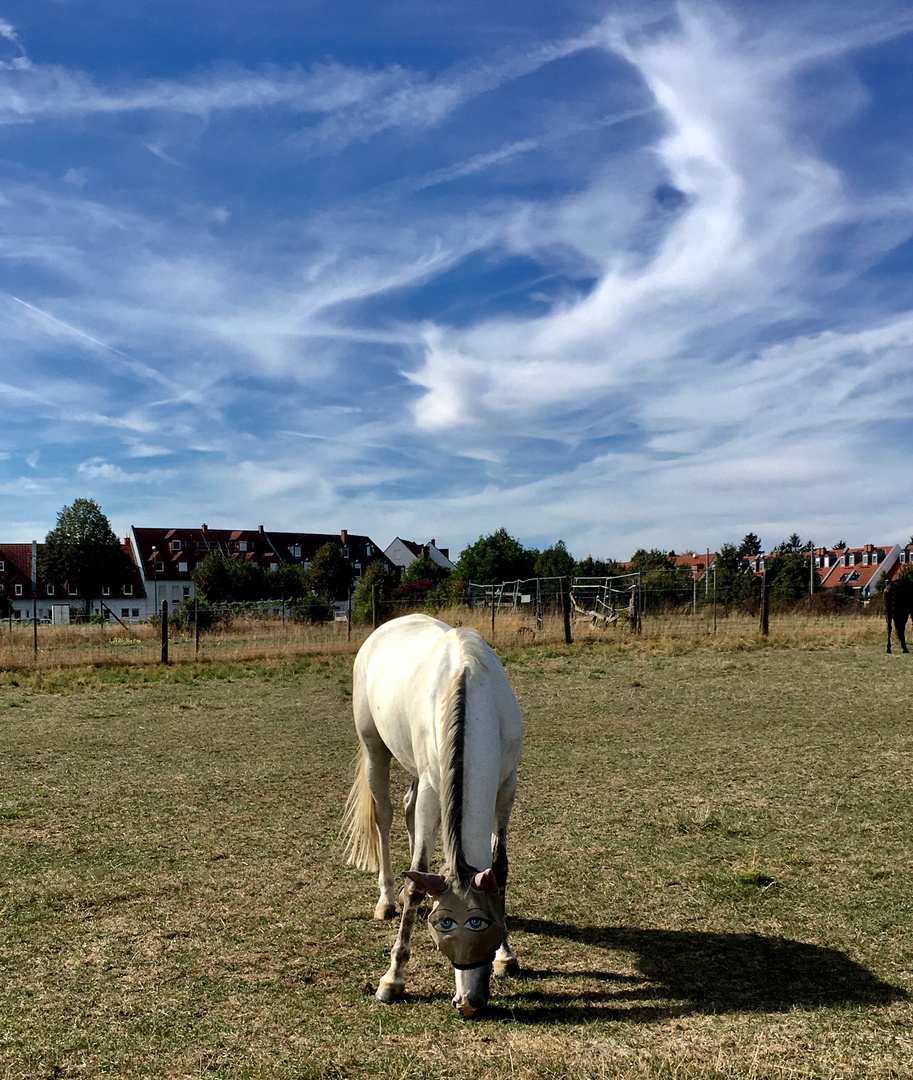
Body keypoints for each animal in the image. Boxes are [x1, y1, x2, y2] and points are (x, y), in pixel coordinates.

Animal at [341, 613, 522, 1015]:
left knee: (408, 808)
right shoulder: (432, 789)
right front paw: (392, 980)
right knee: (386, 815)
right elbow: (415, 881)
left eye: (485, 924)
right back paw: (386, 899)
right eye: (444, 925)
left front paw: (506, 957)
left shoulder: (506, 787)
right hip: (375, 749)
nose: (468, 1003)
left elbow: (499, 869)